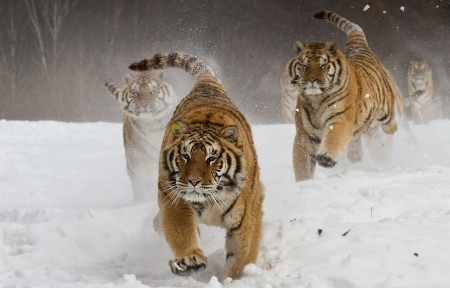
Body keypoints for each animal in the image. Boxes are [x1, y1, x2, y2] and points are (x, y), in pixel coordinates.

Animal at [128, 51, 266, 280]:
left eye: (211, 158)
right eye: (185, 156)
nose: (193, 181)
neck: (211, 199)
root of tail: (207, 84)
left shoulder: (248, 216)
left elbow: (241, 256)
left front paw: (234, 279)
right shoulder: (175, 202)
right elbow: (182, 233)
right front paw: (190, 261)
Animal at [284, 10, 400, 182]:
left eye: (323, 64)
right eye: (304, 65)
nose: (312, 80)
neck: (316, 99)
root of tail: (358, 45)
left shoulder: (340, 118)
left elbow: (334, 137)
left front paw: (326, 158)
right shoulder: (304, 133)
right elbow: (302, 164)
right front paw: (304, 183)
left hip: (385, 109)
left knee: (389, 125)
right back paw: (355, 155)